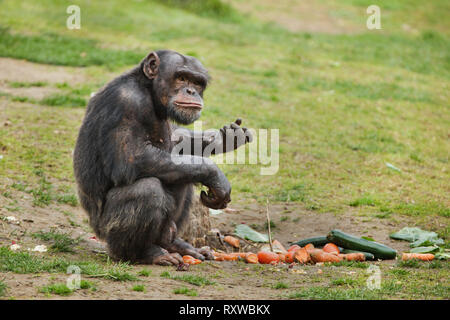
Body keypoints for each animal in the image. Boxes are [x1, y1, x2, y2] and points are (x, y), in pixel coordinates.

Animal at [72, 50, 251, 264]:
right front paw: (215, 176)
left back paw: (176, 245)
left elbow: (177, 141)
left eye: (197, 82)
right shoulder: (125, 103)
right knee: (147, 190)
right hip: (106, 231)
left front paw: (225, 138)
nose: (191, 91)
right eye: (181, 78)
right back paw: (146, 253)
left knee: (183, 176)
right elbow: (131, 159)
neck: (149, 92)